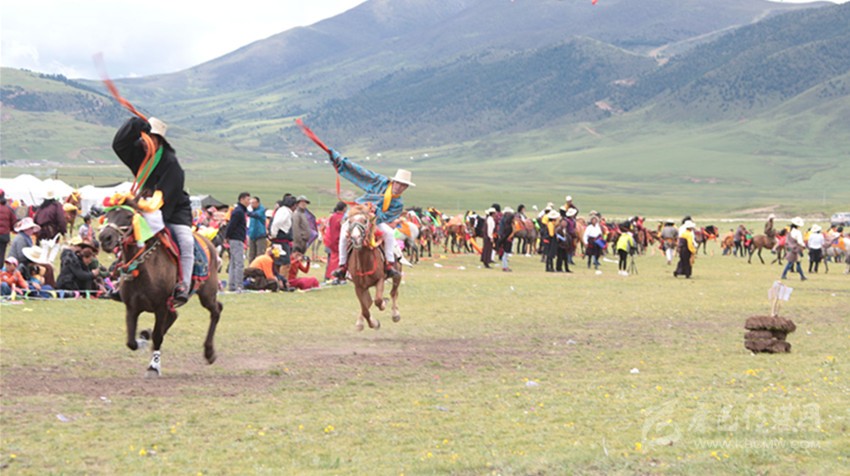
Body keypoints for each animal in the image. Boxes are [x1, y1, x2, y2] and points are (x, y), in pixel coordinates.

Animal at [98, 205, 223, 377]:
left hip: (207, 294)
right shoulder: (132, 307)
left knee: (216, 310)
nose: (105, 238)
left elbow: (158, 337)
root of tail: (209, 243)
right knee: (175, 315)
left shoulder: (161, 306)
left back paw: (209, 352)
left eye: (129, 216)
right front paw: (143, 339)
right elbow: (131, 342)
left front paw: (153, 366)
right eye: (108, 215)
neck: (144, 267)